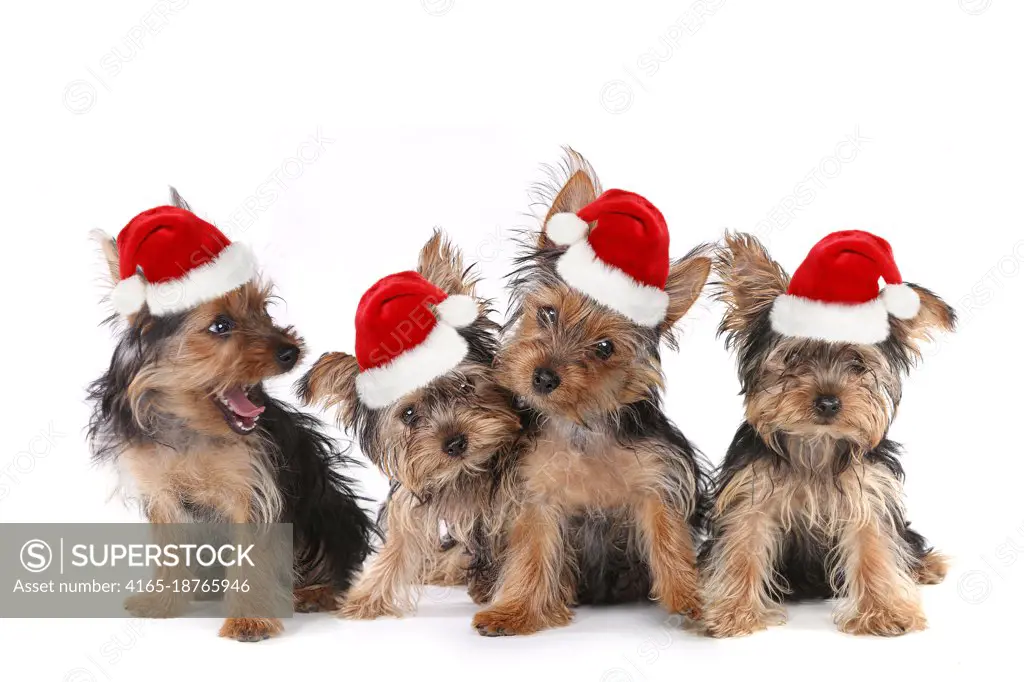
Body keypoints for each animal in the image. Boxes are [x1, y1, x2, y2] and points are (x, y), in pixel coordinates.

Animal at [87, 189, 376, 638]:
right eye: (220, 325)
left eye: (264, 309)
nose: (291, 351)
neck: (191, 425)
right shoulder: (162, 492)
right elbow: (169, 549)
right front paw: (163, 602)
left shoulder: (255, 490)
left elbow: (253, 554)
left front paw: (249, 618)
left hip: (330, 511)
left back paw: (313, 592)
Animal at [296, 229, 520, 614]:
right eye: (410, 414)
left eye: (465, 385)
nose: (455, 442)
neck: (463, 475)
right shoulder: (409, 504)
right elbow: (397, 551)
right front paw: (361, 602)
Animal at [471, 151, 712, 634]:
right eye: (547, 314)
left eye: (604, 348)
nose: (544, 377)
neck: (581, 423)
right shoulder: (535, 495)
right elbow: (531, 553)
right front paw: (515, 610)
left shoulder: (657, 480)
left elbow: (670, 539)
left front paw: (690, 598)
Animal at [704, 231, 950, 634]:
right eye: (794, 358)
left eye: (857, 364)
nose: (829, 402)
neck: (815, 443)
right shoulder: (750, 494)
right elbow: (742, 546)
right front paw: (734, 610)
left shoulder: (869, 492)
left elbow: (875, 545)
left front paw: (884, 611)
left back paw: (926, 565)